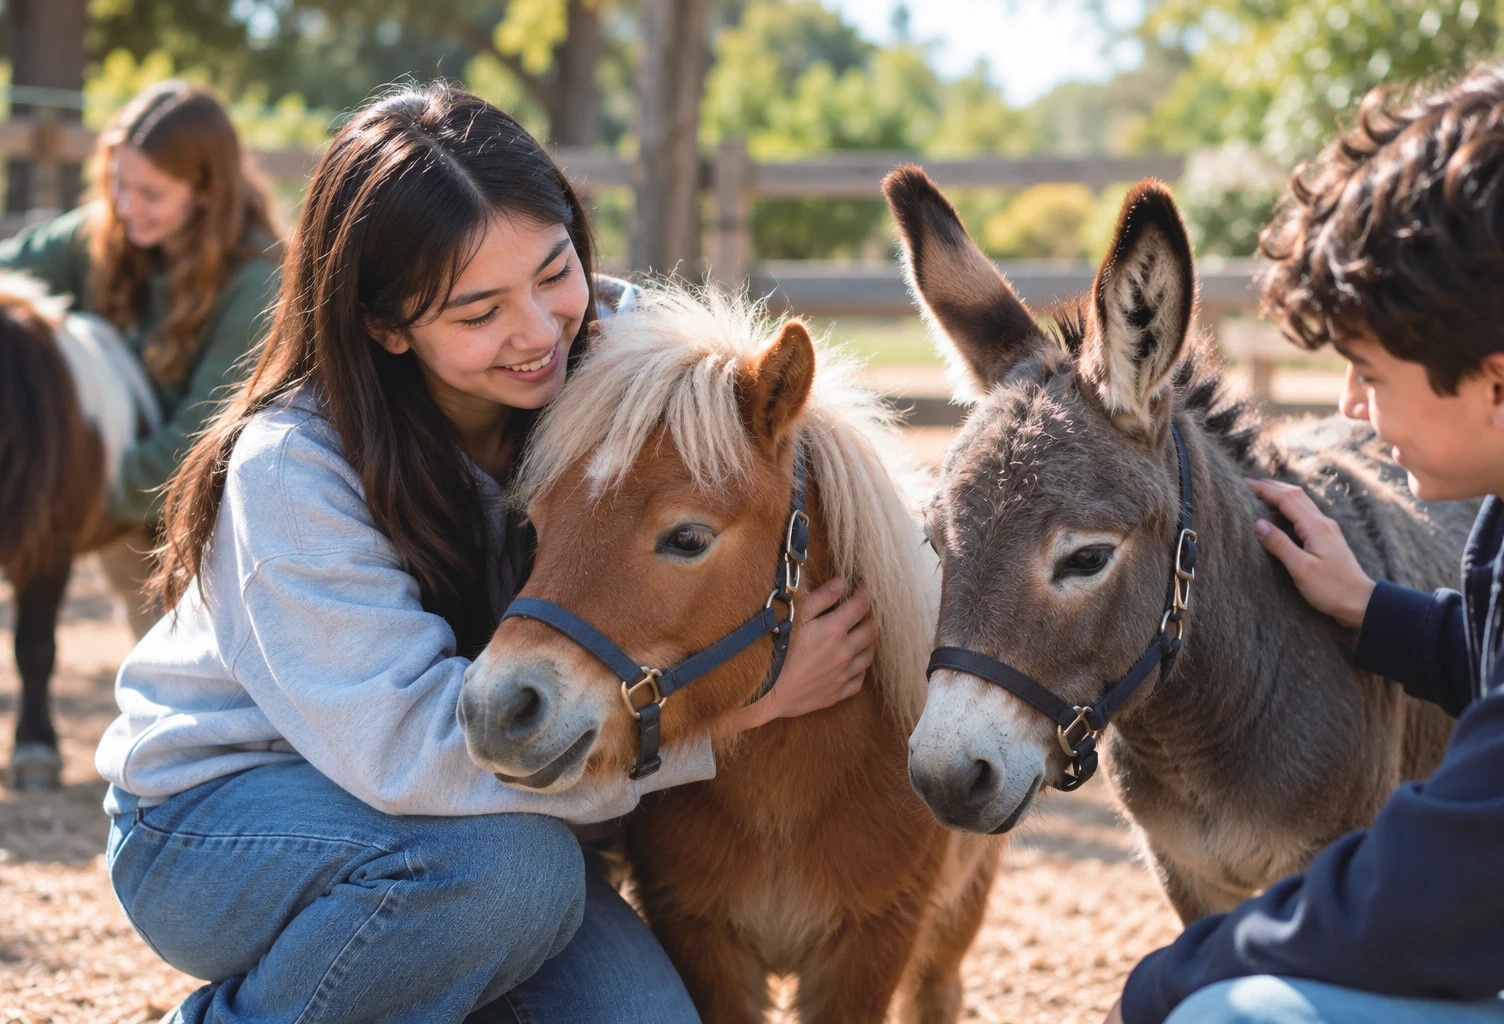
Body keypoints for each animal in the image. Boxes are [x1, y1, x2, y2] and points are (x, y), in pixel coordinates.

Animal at [458, 288, 1000, 1023]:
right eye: (537, 526)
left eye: (688, 537)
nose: (495, 708)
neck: (787, 797)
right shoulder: (698, 935)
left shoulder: (873, 942)